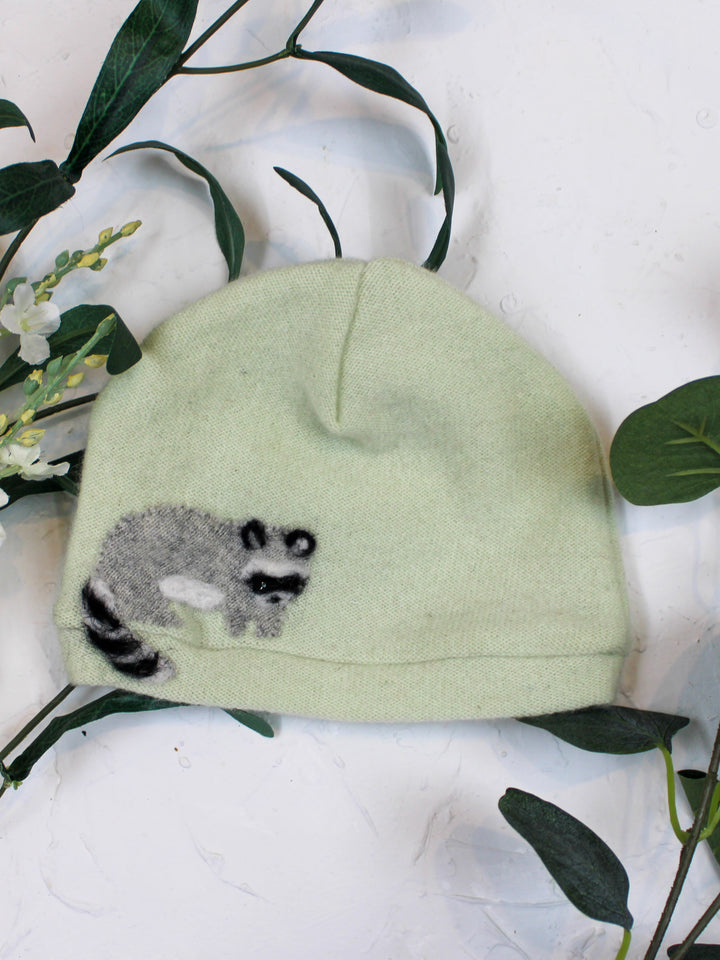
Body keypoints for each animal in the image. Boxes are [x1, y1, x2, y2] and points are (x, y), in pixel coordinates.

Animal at [81, 505, 316, 682]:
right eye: (262, 583)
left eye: (289, 581)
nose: (276, 598)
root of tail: (103, 561)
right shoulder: (231, 584)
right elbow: (236, 611)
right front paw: (239, 628)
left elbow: (267, 615)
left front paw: (267, 629)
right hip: (134, 570)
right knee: (142, 601)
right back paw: (163, 618)